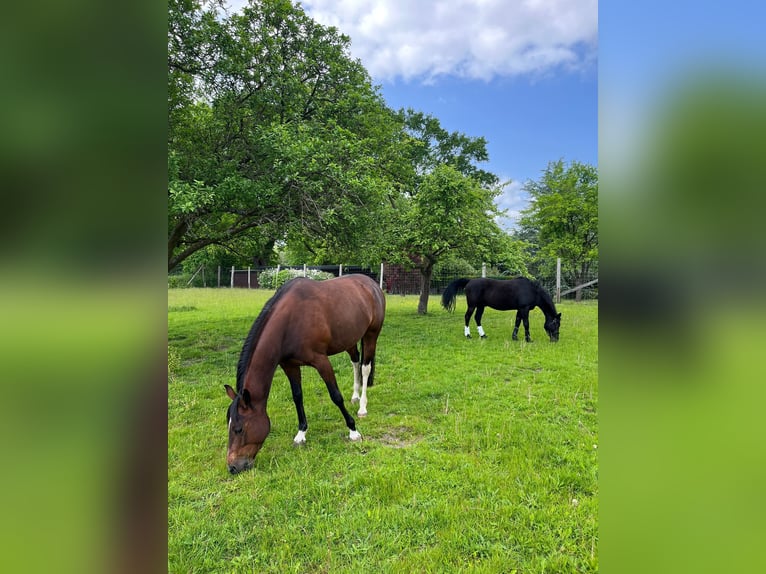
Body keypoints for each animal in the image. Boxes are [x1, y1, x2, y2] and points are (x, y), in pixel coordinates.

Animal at [225, 274, 388, 476]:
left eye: (239, 429)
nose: (232, 467)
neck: (289, 323)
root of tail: (371, 283)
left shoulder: (321, 361)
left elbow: (336, 396)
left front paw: (353, 431)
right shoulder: (290, 365)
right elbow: (297, 396)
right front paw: (301, 433)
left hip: (371, 334)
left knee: (365, 368)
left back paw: (362, 407)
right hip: (349, 339)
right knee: (356, 362)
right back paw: (355, 396)